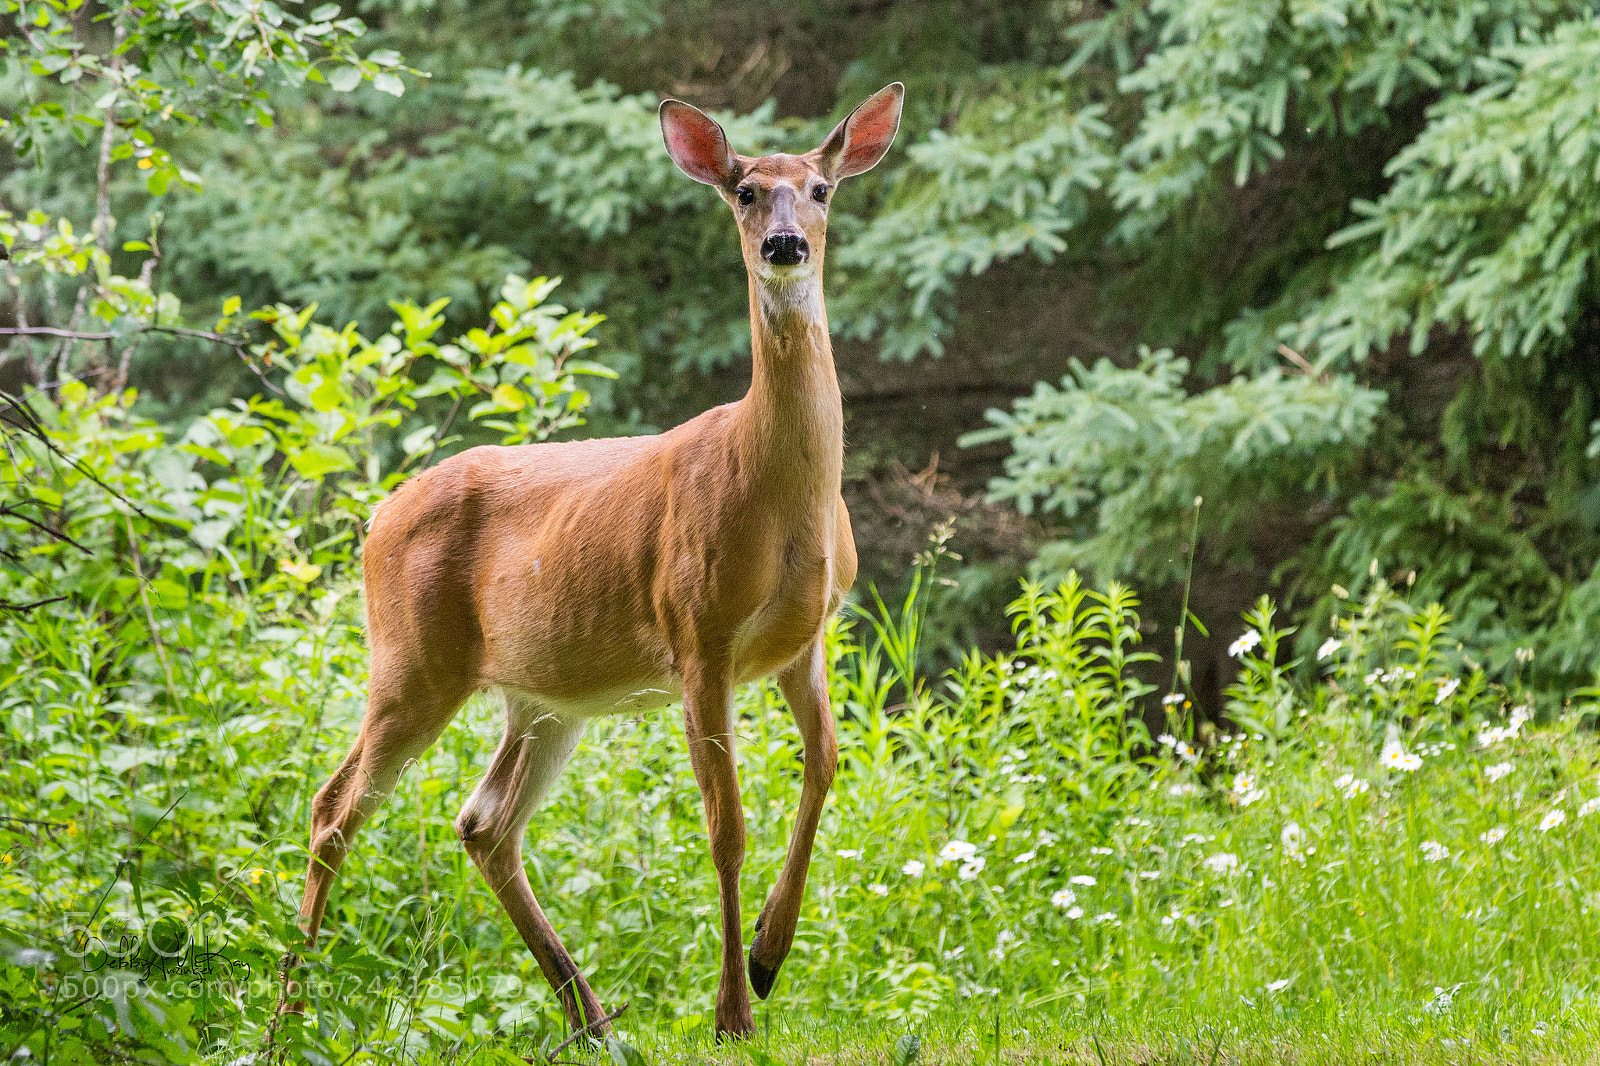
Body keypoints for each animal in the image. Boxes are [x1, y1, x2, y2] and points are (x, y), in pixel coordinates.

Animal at [283, 83, 904, 1040]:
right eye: (744, 192)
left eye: (821, 189)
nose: (784, 245)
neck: (778, 493)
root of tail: (376, 518)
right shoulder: (698, 631)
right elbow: (725, 826)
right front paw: (733, 1011)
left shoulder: (804, 638)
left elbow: (827, 767)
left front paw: (769, 954)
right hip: (411, 661)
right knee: (334, 809)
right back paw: (296, 1007)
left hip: (543, 696)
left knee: (483, 821)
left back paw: (592, 1019)